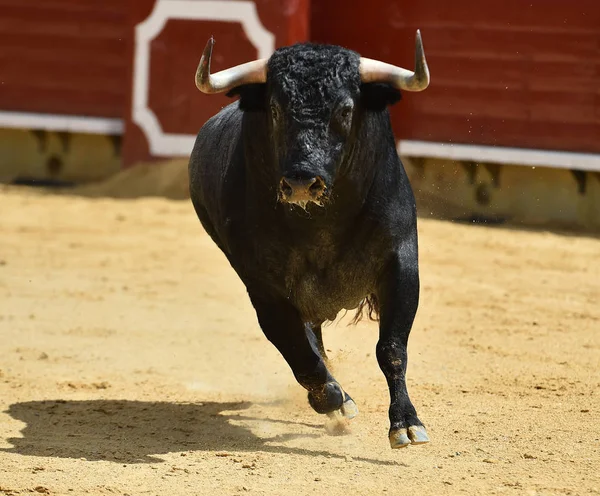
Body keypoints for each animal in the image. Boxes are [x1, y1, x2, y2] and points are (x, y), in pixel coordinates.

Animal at [188, 33, 432, 448]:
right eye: (274, 109)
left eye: (346, 109)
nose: (302, 181)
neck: (320, 224)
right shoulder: (263, 287)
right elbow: (298, 351)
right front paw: (334, 399)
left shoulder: (401, 261)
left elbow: (392, 348)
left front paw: (406, 423)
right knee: (307, 342)